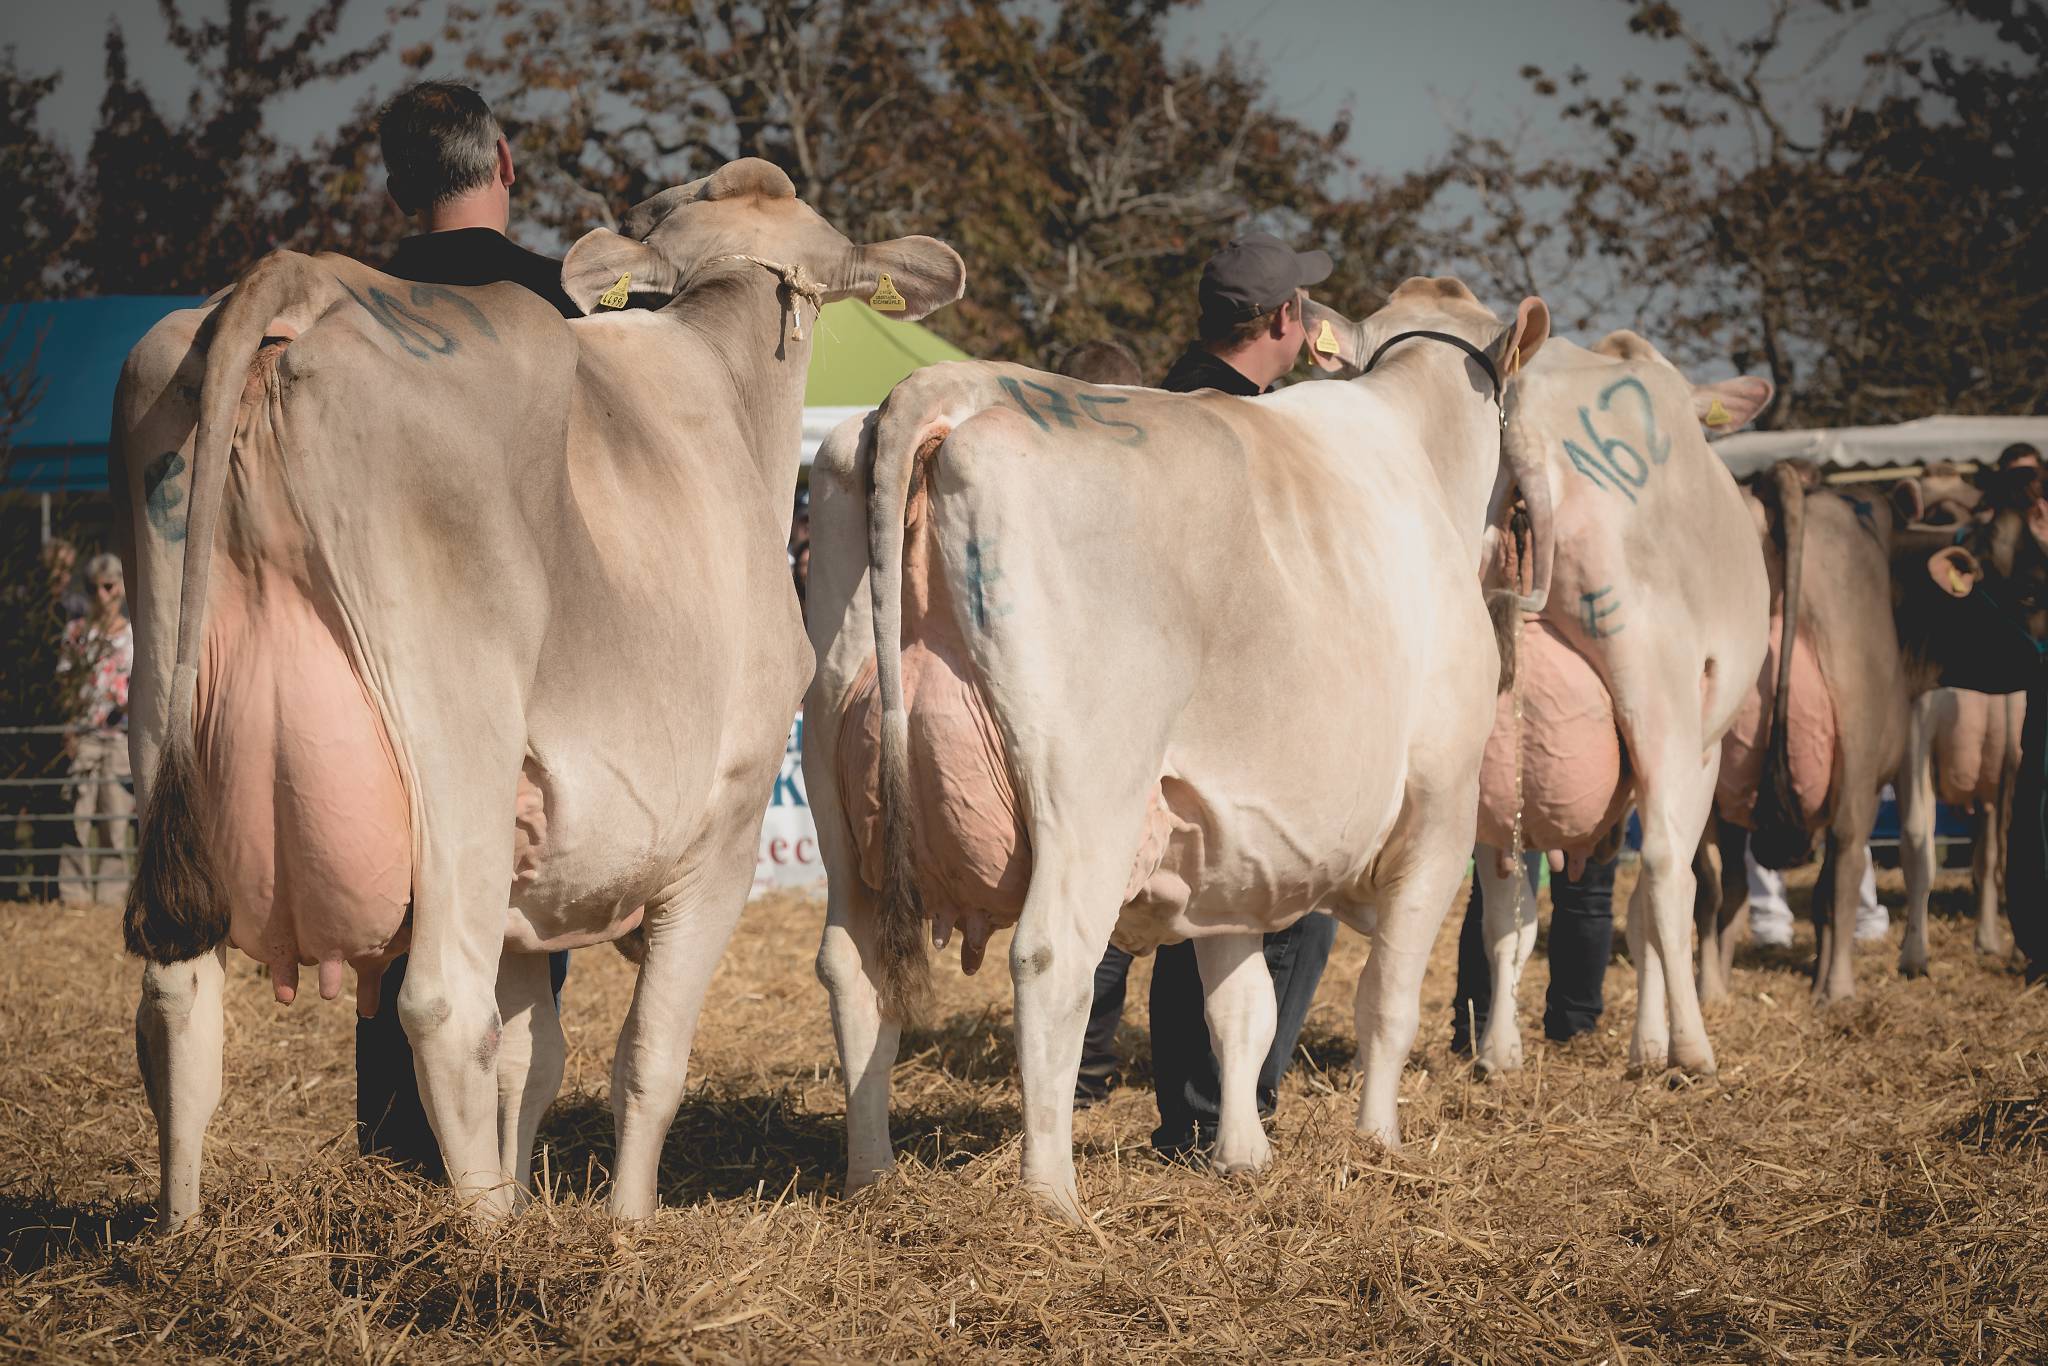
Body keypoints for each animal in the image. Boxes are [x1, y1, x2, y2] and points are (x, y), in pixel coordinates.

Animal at [112, 158, 965, 1225]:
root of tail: (303, 278)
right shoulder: (724, 833)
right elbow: (648, 1058)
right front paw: (623, 1228)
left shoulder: (531, 869)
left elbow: (532, 1058)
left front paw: (532, 1201)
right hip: (453, 747)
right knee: (440, 1004)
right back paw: (477, 1234)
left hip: (164, 696)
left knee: (177, 998)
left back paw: (182, 1234)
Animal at [802, 276, 1554, 1218]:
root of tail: (948, 384)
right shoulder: (1441, 809)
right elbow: (1387, 999)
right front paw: (1378, 1142)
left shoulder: (1229, 848)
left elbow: (1239, 1011)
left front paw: (1243, 1155)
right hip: (1085, 788)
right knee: (1049, 960)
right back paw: (1052, 1198)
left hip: (838, 788)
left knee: (853, 966)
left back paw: (872, 1176)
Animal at [1464, 330, 1773, 1076]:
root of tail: (1529, 427)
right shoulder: (1701, 748)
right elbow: (1656, 896)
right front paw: (1653, 1045)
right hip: (1653, 683)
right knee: (1664, 867)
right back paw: (1695, 1049)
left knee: (1502, 901)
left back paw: (1498, 1052)